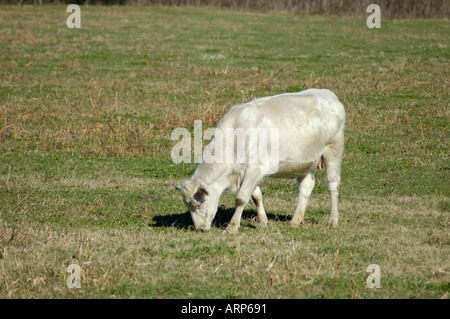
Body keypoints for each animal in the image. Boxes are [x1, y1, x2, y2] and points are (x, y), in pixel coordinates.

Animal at [176, 89, 344, 234]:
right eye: (188, 206)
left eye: (200, 203)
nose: (200, 228)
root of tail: (329, 94)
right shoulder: (247, 172)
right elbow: (256, 196)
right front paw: (263, 221)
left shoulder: (255, 169)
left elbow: (241, 198)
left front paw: (232, 227)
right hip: (305, 161)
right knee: (306, 187)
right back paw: (296, 220)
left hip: (334, 149)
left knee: (333, 185)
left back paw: (333, 220)